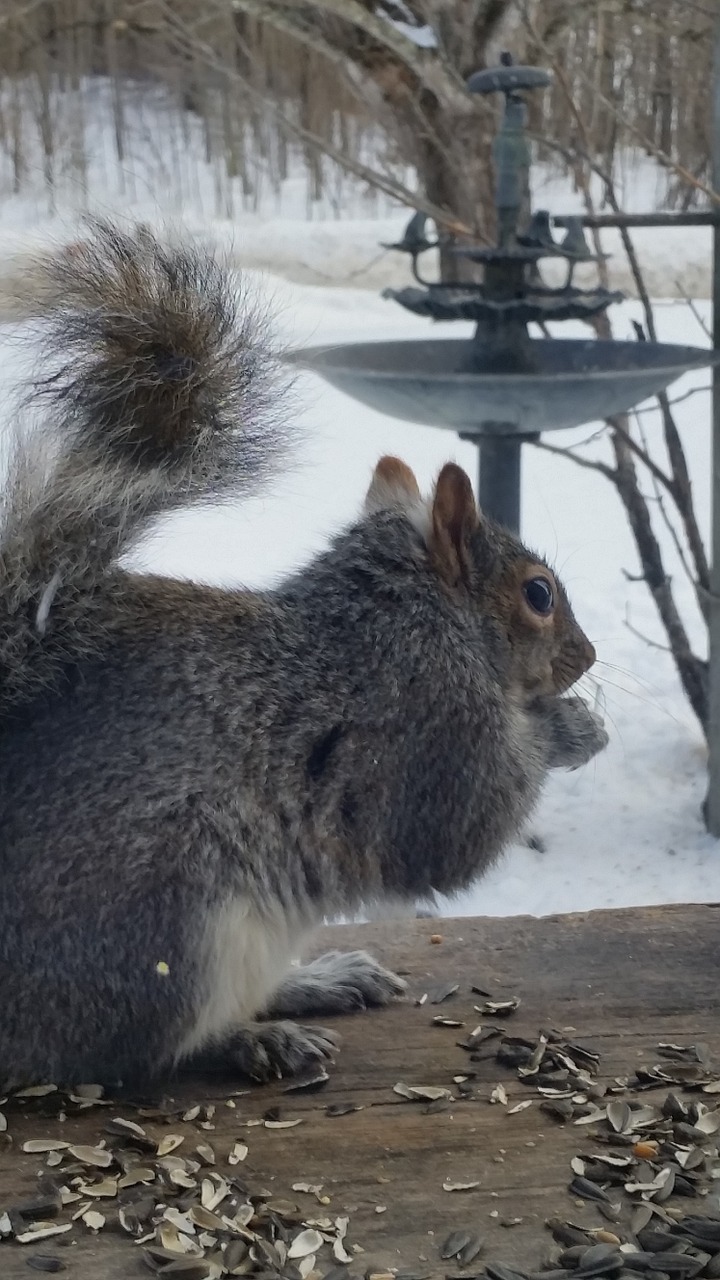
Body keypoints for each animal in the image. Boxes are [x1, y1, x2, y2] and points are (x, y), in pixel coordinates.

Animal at [0, 220, 604, 1090]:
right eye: (538, 594)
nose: (586, 656)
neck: (411, 618)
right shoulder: (428, 727)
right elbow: (461, 825)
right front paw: (570, 730)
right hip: (168, 932)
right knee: (134, 1051)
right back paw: (259, 1037)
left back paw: (318, 979)